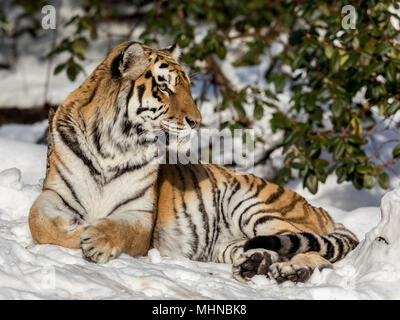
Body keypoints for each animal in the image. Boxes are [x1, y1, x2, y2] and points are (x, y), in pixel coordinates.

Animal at [28, 41, 360, 284]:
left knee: (319, 256)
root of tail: (320, 209)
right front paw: (78, 230)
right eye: (164, 87)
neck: (115, 143)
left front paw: (96, 239)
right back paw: (255, 264)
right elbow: (39, 222)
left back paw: (293, 271)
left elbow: (122, 230)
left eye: (187, 87)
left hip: (253, 207)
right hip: (230, 244)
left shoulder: (140, 213)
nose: (197, 121)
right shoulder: (55, 193)